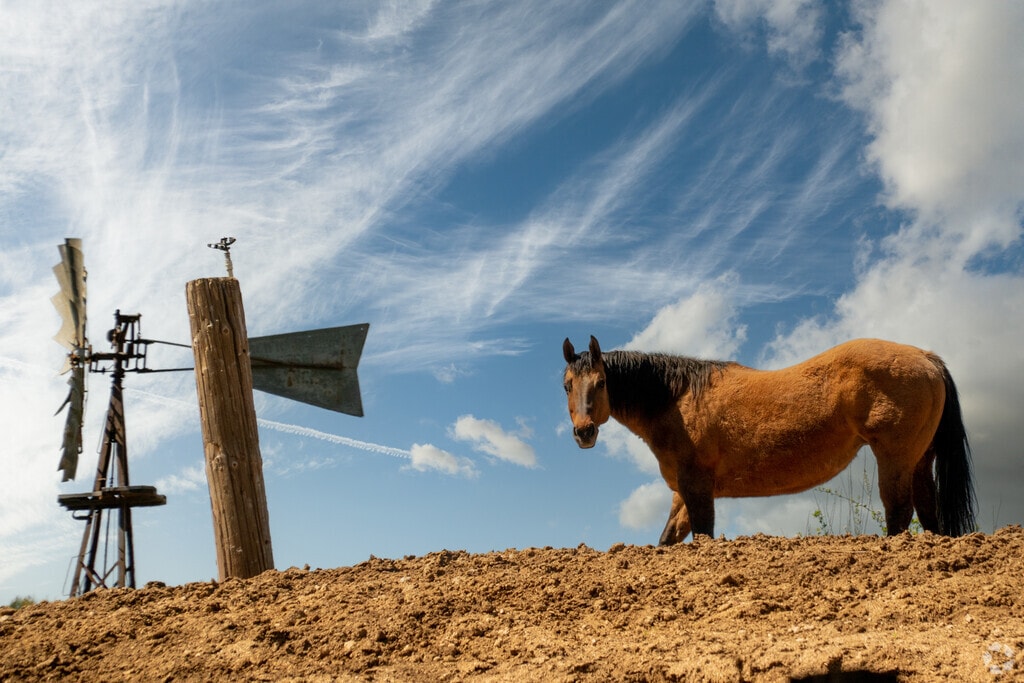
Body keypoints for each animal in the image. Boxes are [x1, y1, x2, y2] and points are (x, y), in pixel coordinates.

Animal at [562, 336, 977, 543]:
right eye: (567, 384)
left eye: (601, 383)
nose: (584, 432)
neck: (678, 398)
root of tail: (926, 357)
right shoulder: (683, 491)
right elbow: (667, 539)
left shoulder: (697, 487)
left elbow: (703, 534)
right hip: (920, 460)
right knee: (928, 514)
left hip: (895, 457)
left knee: (899, 513)